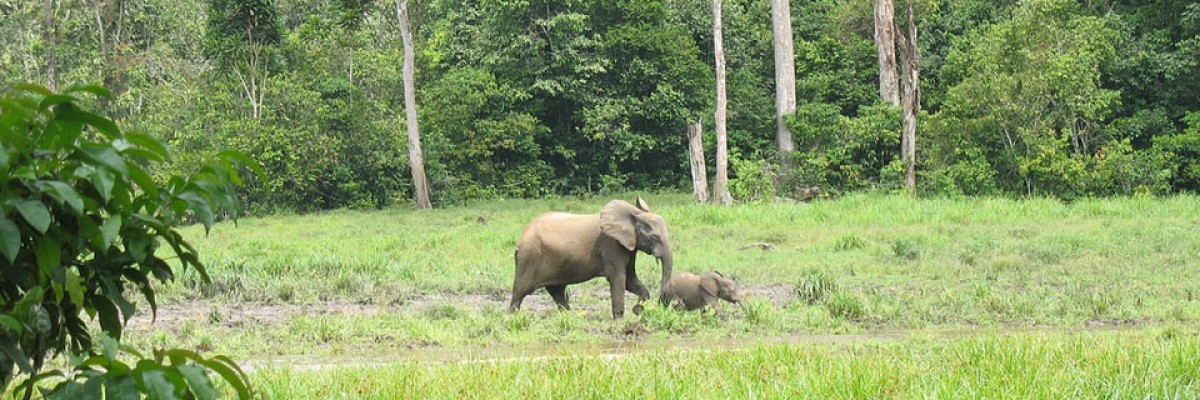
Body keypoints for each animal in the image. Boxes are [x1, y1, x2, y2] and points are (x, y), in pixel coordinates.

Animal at [508, 195, 672, 317]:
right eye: (655, 237)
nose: (661, 304)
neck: (633, 214)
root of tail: (522, 236)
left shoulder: (628, 245)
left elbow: (630, 279)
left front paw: (640, 306)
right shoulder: (611, 245)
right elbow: (618, 278)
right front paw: (620, 320)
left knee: (557, 291)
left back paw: (570, 316)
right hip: (529, 257)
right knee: (520, 291)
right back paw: (512, 317)